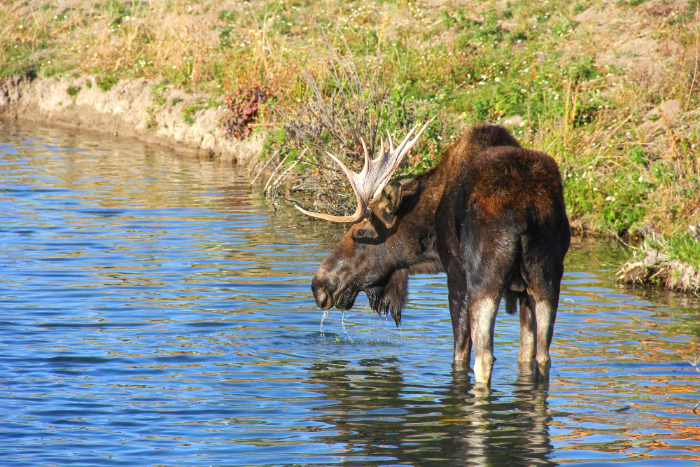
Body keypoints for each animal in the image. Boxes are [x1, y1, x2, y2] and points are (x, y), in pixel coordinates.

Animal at [296, 123, 568, 384]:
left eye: (360, 232)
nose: (319, 285)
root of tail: (526, 211)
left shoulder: (456, 273)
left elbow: (460, 356)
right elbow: (524, 356)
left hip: (485, 279)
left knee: (484, 359)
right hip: (546, 280)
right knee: (542, 357)